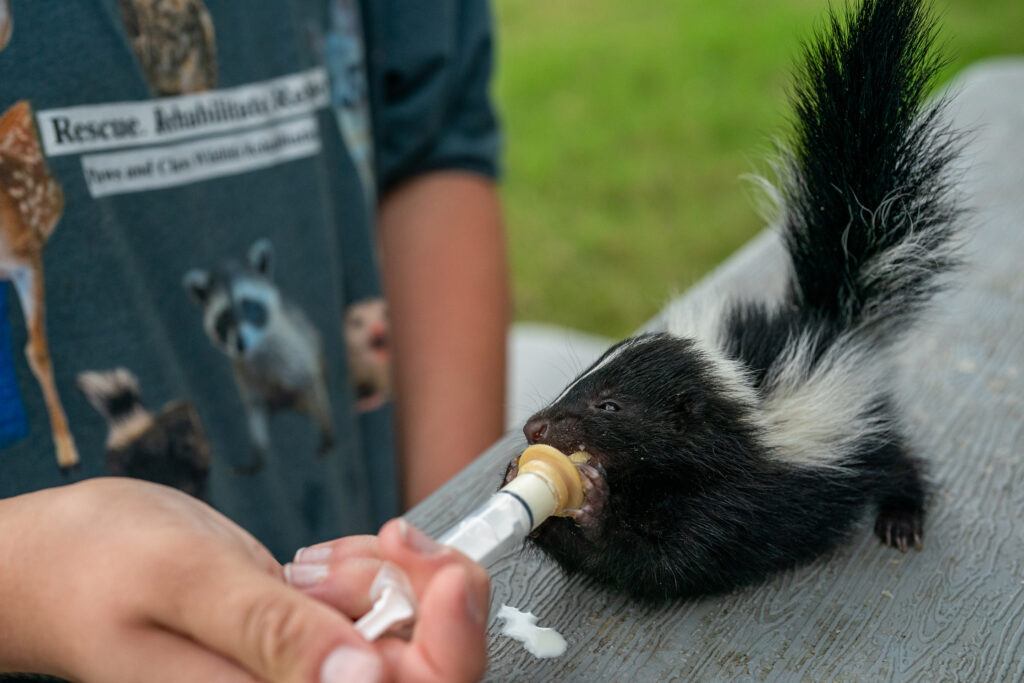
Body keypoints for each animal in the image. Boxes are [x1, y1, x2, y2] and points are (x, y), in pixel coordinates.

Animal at [507, 0, 962, 602]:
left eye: (610, 406)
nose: (536, 428)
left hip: (860, 427)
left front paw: (596, 498)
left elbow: (670, 560)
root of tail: (825, 313)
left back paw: (902, 520)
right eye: (576, 383)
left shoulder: (741, 498)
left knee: (898, 458)